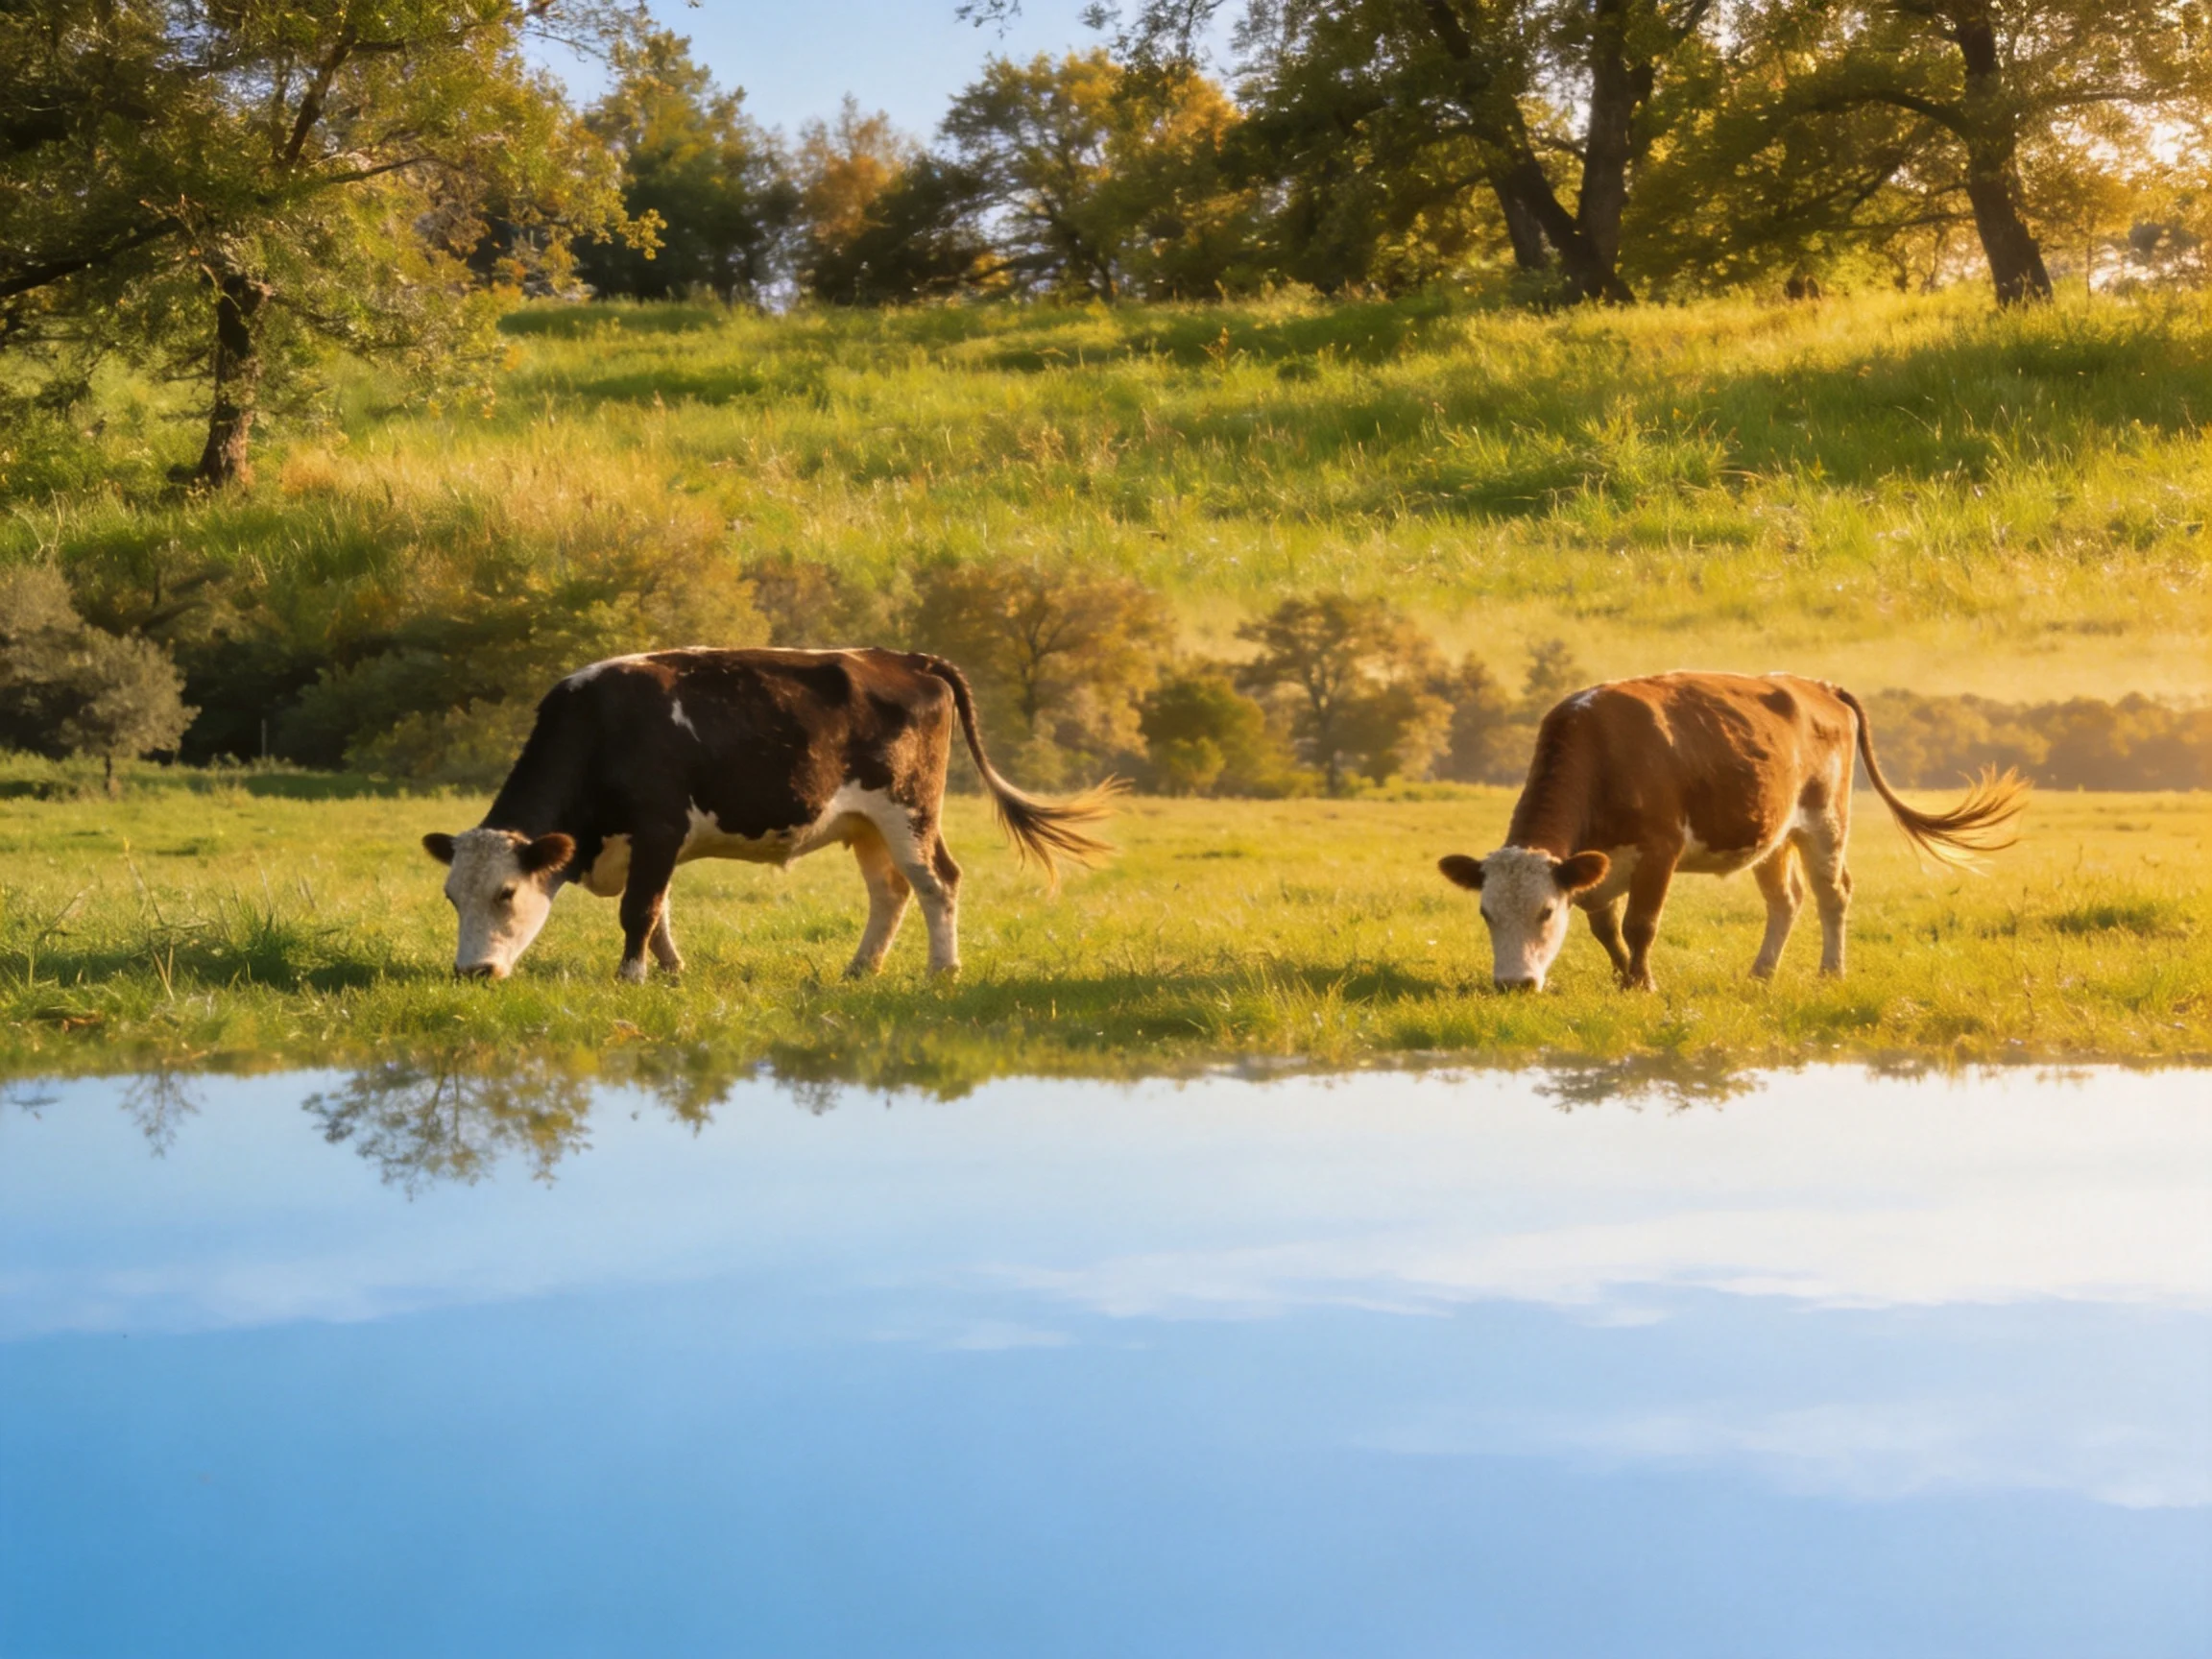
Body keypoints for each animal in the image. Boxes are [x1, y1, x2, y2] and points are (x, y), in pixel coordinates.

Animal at [422, 648, 1117, 983]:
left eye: (507, 893)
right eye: (452, 897)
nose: (472, 973)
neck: (600, 726)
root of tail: (906, 659)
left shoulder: (660, 827)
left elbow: (639, 909)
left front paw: (632, 975)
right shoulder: (654, 842)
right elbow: (661, 908)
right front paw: (672, 970)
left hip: (909, 810)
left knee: (937, 882)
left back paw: (942, 971)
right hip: (866, 823)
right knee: (889, 891)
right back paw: (861, 968)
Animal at [1437, 672, 2028, 992]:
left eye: (1544, 912)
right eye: (1486, 913)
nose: (1513, 986)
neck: (1601, 753)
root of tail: (1815, 685)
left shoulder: (1660, 849)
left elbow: (1640, 924)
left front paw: (1642, 984)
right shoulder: (1593, 866)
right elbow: (1607, 930)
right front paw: (1623, 976)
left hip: (1826, 821)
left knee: (1833, 894)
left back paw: (1830, 972)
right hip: (1772, 834)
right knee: (1785, 900)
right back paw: (1761, 973)